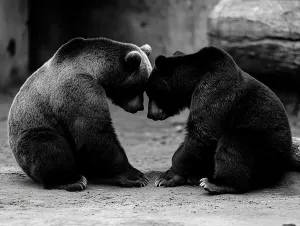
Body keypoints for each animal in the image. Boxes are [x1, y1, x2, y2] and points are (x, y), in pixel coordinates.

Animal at [7, 36, 152, 191]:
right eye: (140, 86)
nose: (139, 107)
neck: (95, 70)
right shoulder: (78, 89)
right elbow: (93, 134)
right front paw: (137, 176)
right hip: (32, 132)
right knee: (50, 148)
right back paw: (72, 180)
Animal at [146, 46, 300, 194]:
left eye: (150, 92)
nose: (150, 114)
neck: (194, 81)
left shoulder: (215, 90)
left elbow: (202, 134)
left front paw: (165, 178)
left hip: (264, 147)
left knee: (234, 144)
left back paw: (216, 183)